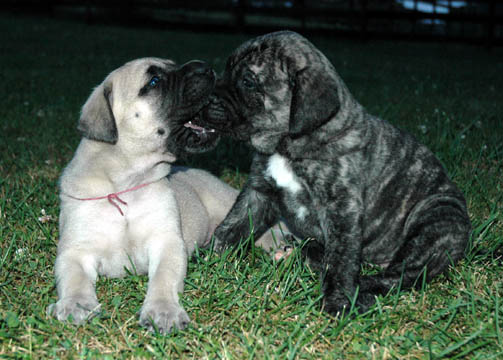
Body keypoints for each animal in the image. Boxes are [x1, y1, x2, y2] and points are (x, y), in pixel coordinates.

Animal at [189, 32, 472, 316]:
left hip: (435, 220)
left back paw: (362, 288)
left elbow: (341, 259)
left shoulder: (342, 208)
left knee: (403, 274)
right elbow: (232, 225)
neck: (288, 145)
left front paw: (338, 300)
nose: (205, 98)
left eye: (248, 82)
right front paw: (206, 258)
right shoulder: (259, 191)